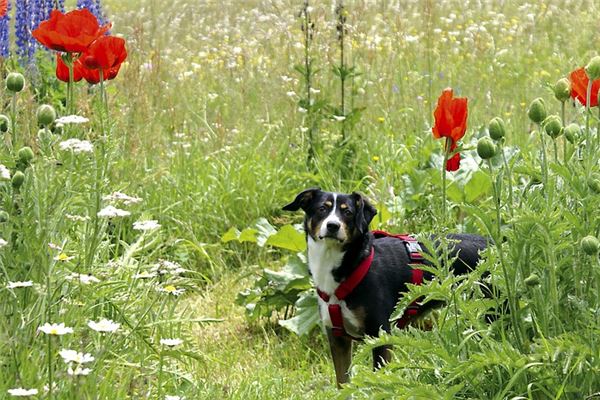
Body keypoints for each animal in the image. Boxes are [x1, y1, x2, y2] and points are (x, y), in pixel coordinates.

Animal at [282, 189, 488, 390]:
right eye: (322, 209)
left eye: (348, 212)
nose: (332, 225)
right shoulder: (337, 339)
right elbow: (343, 383)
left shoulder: (380, 335)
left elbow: (379, 381)